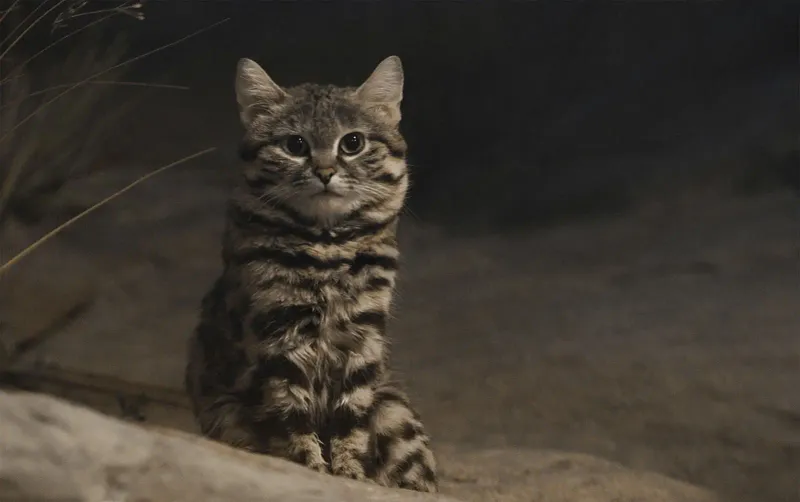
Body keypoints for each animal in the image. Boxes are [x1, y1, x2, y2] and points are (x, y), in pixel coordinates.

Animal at [185, 55, 438, 490]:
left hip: (394, 411)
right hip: (226, 413)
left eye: (352, 143)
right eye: (295, 145)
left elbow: (351, 418)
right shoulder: (279, 335)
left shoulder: (362, 338)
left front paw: (350, 474)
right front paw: (311, 468)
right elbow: (292, 414)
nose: (324, 172)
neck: (326, 245)